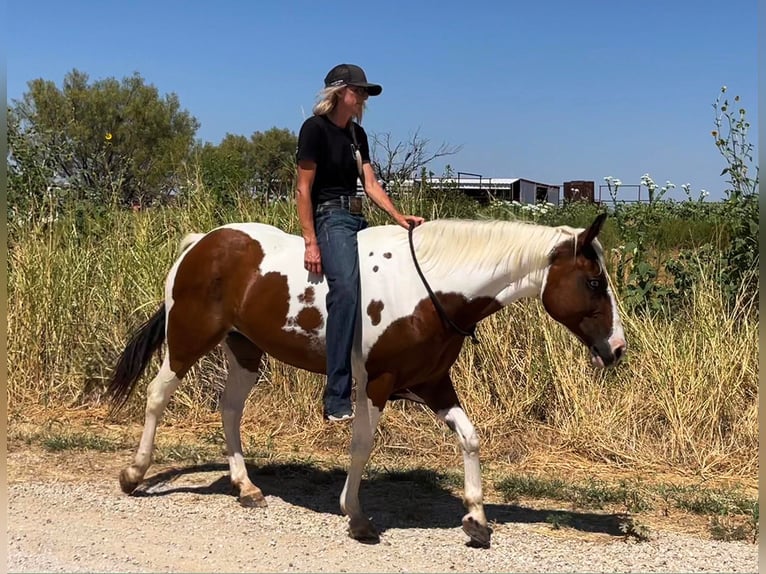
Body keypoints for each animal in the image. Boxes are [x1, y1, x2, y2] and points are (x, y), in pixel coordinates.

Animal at [108, 213, 628, 548]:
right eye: (594, 282)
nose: (617, 348)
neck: (429, 290)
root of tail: (202, 243)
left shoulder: (434, 383)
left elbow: (470, 438)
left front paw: (477, 519)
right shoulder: (377, 383)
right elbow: (361, 446)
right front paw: (356, 517)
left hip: (245, 352)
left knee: (230, 410)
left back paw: (246, 487)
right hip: (188, 340)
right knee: (156, 396)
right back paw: (134, 474)